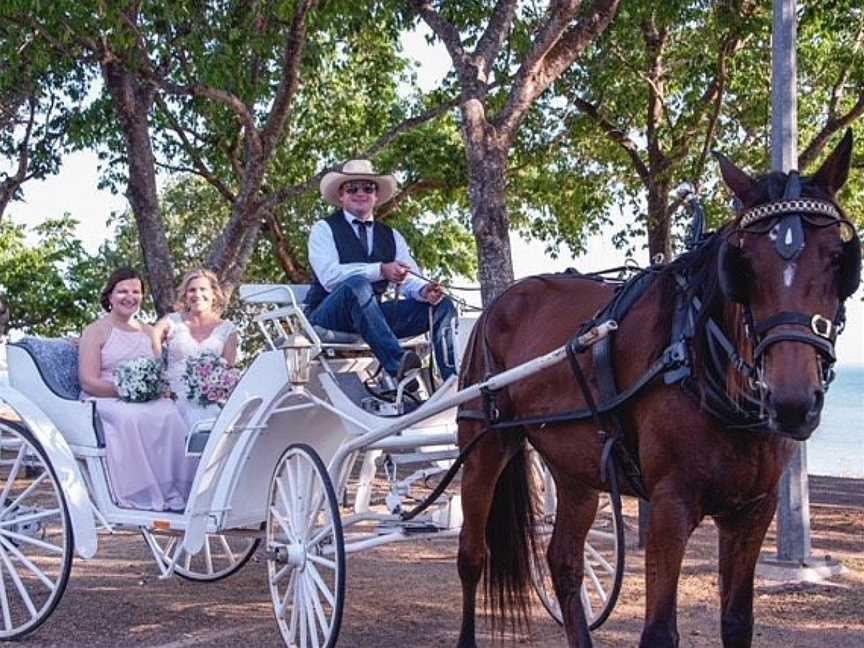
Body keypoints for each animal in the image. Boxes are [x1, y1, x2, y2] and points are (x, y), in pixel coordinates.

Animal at [456, 133, 860, 648]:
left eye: (837, 259)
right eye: (745, 264)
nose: (792, 403)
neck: (699, 362)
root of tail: (501, 300)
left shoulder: (753, 511)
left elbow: (737, 622)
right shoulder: (671, 507)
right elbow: (660, 630)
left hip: (574, 466)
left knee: (564, 561)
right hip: (485, 446)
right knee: (472, 555)